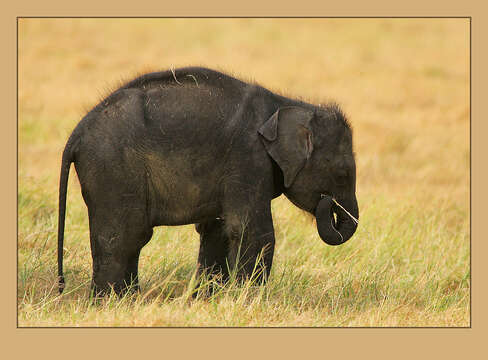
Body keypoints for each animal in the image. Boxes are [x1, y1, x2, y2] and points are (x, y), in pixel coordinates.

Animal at [57, 67, 358, 296]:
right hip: (114, 170)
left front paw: (208, 299)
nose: (328, 202)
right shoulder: (247, 158)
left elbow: (217, 230)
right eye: (343, 173)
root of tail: (75, 135)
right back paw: (112, 302)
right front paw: (248, 299)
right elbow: (251, 230)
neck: (285, 103)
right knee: (125, 236)